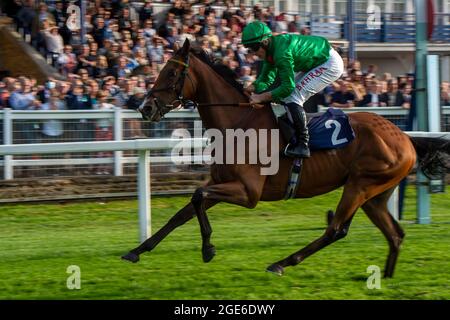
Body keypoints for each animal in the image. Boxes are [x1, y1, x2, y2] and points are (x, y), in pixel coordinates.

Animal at [121, 40, 448, 278]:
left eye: (171, 73)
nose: (145, 108)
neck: (238, 122)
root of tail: (405, 137)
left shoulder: (249, 193)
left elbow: (198, 195)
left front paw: (208, 248)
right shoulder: (223, 183)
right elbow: (183, 211)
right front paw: (136, 250)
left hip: (360, 186)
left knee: (336, 229)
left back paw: (282, 262)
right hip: (376, 195)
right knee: (395, 234)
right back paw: (387, 276)